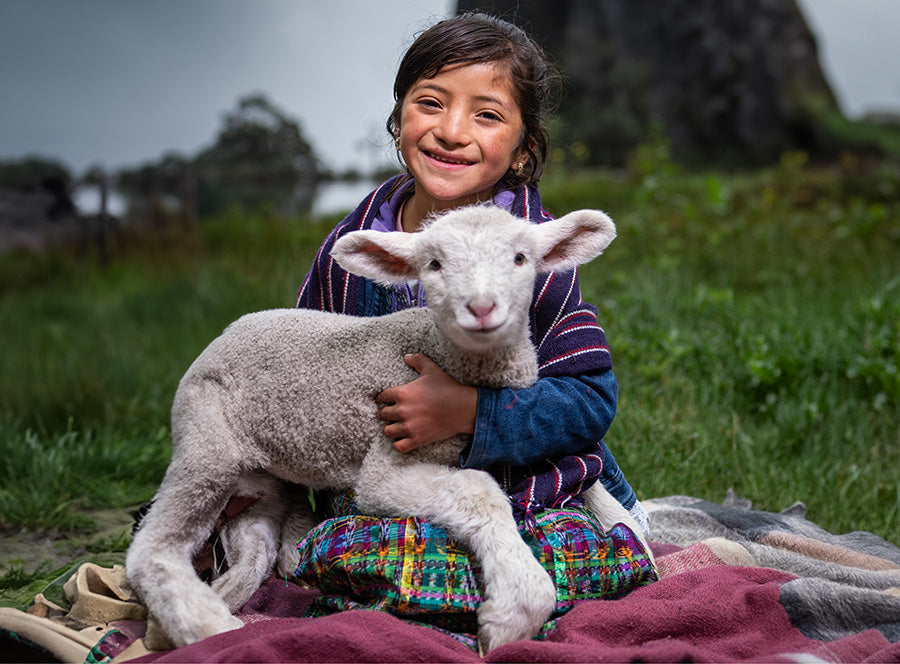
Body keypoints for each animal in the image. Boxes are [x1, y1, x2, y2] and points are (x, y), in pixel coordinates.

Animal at [125, 204, 650, 652]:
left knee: (257, 549)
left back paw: (190, 619)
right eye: (434, 264)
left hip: (261, 480)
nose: (481, 308)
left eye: (521, 258)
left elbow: (590, 477)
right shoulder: (386, 462)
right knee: (151, 549)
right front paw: (514, 613)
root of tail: (219, 338)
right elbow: (479, 489)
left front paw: (630, 532)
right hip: (205, 441)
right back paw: (209, 630)